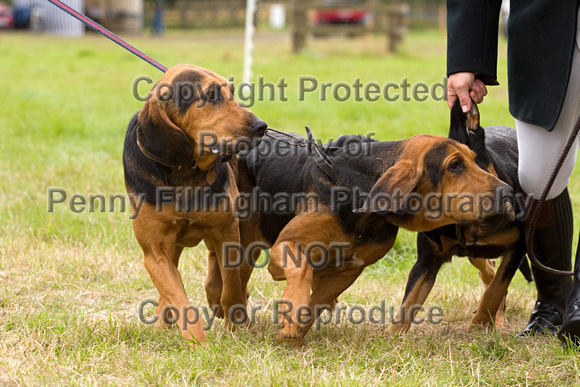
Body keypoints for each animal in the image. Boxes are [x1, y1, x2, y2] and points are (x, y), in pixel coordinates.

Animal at [124, 64, 268, 346]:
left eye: (232, 91)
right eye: (211, 95)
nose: (261, 126)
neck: (185, 170)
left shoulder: (227, 232)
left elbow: (231, 288)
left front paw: (235, 324)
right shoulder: (155, 253)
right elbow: (177, 296)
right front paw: (198, 341)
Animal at [237, 128, 516, 348]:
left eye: (475, 160)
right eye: (454, 165)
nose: (508, 191)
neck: (359, 189)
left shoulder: (350, 270)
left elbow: (316, 302)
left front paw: (292, 338)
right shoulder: (285, 246)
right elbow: (302, 270)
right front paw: (293, 316)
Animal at [388, 101, 532, 334]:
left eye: (481, 164)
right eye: (455, 168)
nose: (506, 193)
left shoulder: (518, 246)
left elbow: (496, 288)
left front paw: (480, 324)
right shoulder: (427, 260)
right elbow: (408, 302)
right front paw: (391, 336)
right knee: (487, 269)